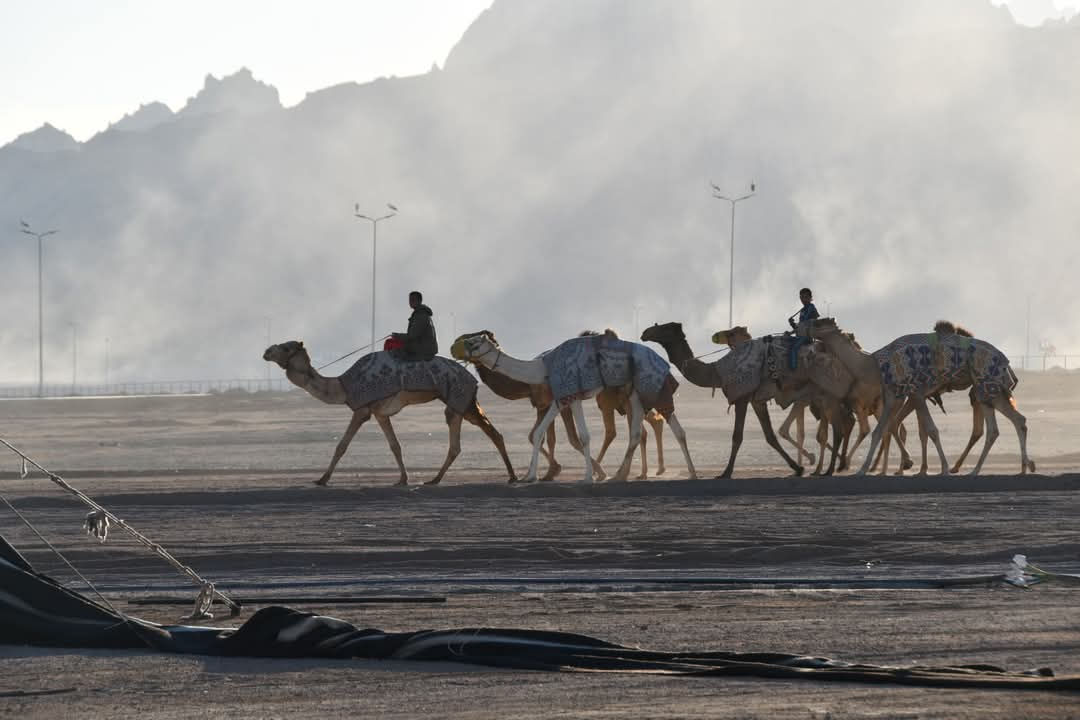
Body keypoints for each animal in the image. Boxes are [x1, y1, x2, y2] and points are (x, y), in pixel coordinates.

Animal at [261, 341, 514, 487]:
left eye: (286, 347)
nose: (265, 351)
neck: (343, 385)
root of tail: (472, 377)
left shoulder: (362, 409)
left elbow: (341, 445)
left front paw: (322, 480)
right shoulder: (380, 413)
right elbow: (395, 445)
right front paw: (403, 479)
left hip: (457, 398)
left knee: (464, 440)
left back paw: (437, 479)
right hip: (466, 402)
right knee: (489, 434)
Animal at [451, 332, 695, 483]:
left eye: (474, 343)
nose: (454, 350)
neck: (543, 367)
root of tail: (662, 361)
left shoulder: (573, 394)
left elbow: (583, 436)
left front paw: (588, 477)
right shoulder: (561, 397)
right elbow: (538, 433)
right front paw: (530, 476)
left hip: (643, 388)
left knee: (655, 429)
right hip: (637, 391)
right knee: (657, 430)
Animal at [635, 321, 855, 479]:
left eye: (663, 327)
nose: (644, 332)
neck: (716, 371)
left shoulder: (741, 397)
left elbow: (737, 436)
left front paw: (725, 472)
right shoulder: (756, 400)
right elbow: (770, 436)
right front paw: (797, 467)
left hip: (826, 394)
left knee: (840, 427)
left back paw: (831, 469)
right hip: (822, 397)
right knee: (843, 424)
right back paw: (835, 466)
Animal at [812, 317, 1032, 474]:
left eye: (817, 322)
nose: (811, 344)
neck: (872, 364)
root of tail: (1006, 363)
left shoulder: (913, 392)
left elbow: (928, 430)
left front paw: (937, 468)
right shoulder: (898, 395)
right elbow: (886, 429)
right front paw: (868, 469)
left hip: (987, 386)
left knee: (995, 427)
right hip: (986, 391)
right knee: (1009, 423)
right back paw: (1019, 467)